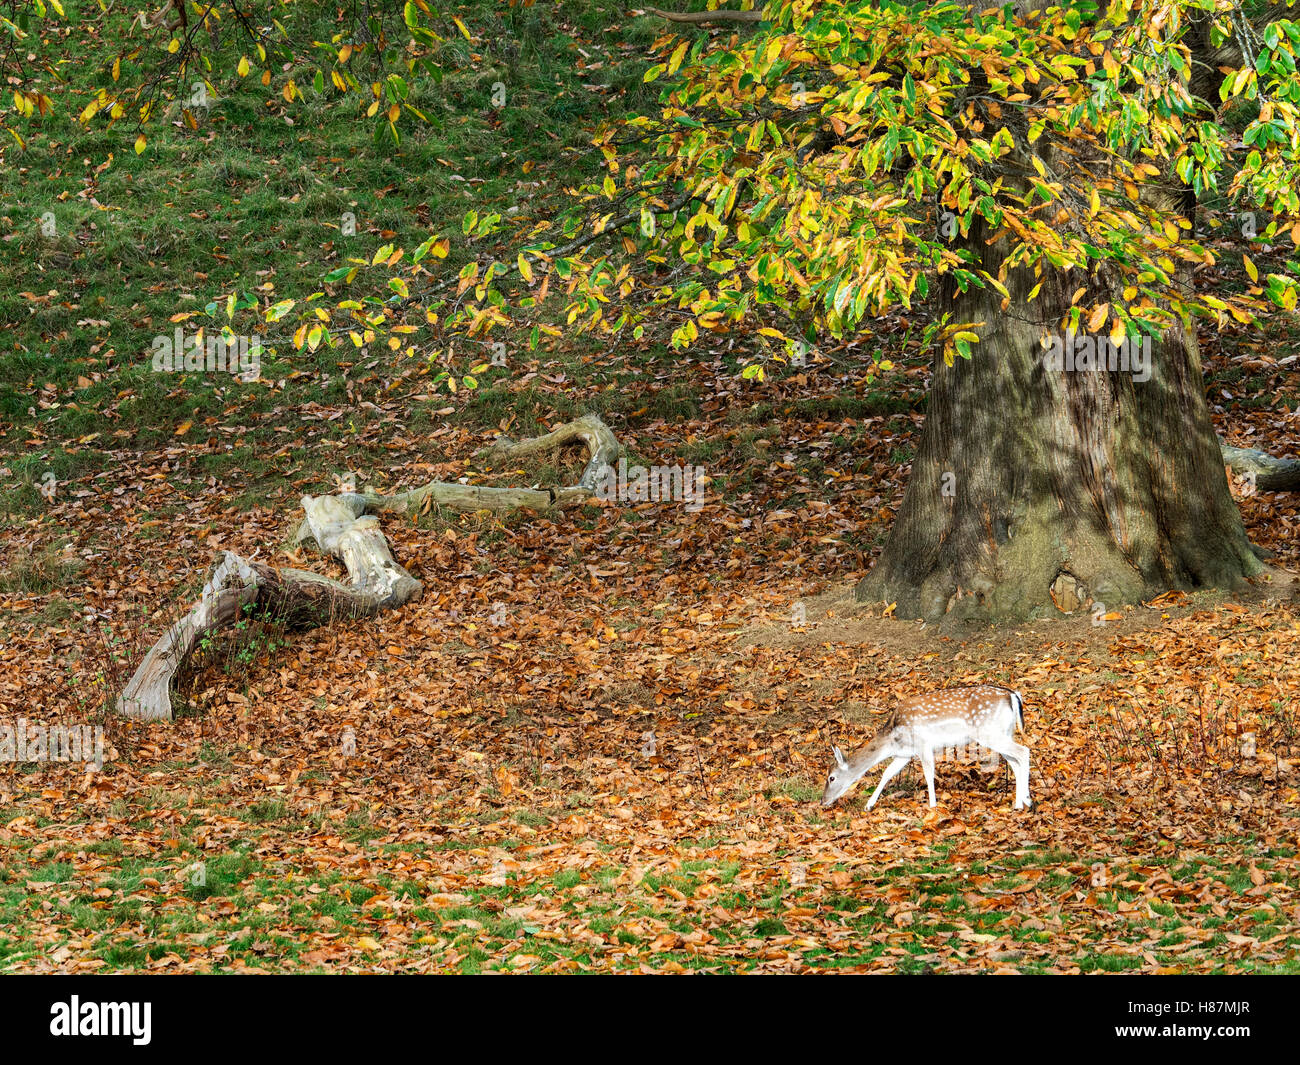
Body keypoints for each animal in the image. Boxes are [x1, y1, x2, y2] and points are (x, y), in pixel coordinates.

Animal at [821, 685, 1031, 811]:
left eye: (831, 778)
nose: (823, 801)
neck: (893, 739)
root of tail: (1012, 695)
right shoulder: (905, 754)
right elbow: (887, 773)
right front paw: (869, 805)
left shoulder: (923, 744)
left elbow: (929, 774)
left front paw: (932, 805)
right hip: (1004, 732)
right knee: (1015, 762)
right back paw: (1020, 803)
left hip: (988, 732)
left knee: (1023, 751)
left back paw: (1026, 801)